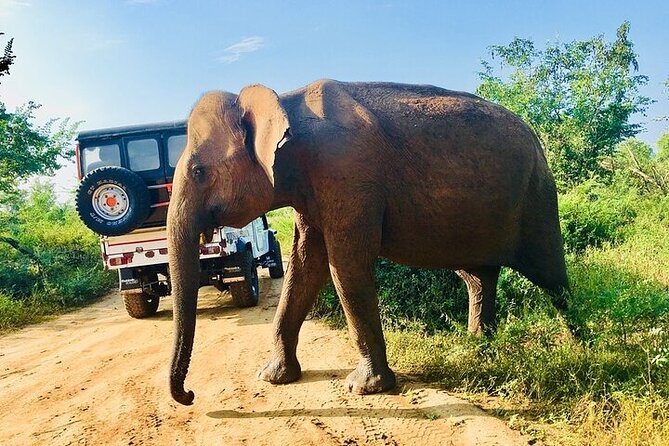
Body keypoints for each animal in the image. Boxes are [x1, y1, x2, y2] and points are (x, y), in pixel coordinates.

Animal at [166, 79, 564, 404]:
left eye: (199, 172)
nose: (190, 395)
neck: (284, 100)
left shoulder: (346, 174)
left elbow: (345, 265)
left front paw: (365, 388)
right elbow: (304, 267)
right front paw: (272, 377)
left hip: (538, 196)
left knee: (551, 277)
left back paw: (572, 340)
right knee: (478, 278)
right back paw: (476, 348)